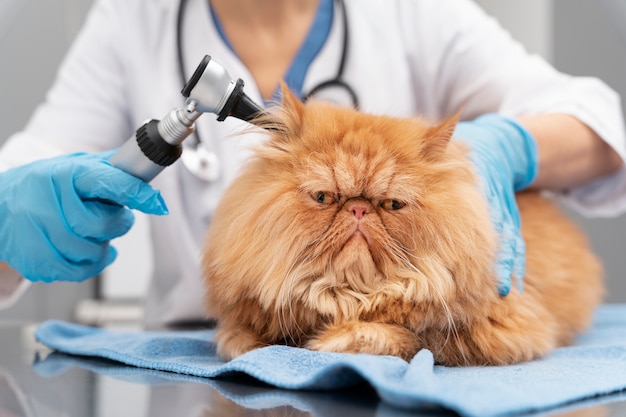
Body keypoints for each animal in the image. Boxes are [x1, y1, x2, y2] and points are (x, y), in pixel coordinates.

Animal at [200, 90, 600, 364]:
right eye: (324, 197)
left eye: (392, 205)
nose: (358, 209)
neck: (348, 295)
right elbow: (239, 336)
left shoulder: (503, 329)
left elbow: (404, 337)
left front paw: (331, 341)